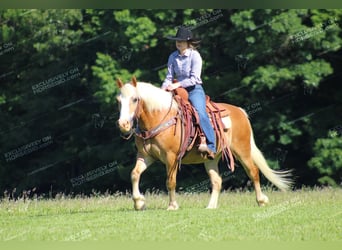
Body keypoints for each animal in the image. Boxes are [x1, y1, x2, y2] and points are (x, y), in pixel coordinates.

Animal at [115, 77, 292, 210]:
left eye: (135, 99)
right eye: (118, 101)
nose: (123, 124)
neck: (158, 118)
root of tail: (240, 111)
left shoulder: (171, 157)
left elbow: (170, 181)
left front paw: (172, 205)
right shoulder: (146, 156)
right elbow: (134, 174)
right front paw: (139, 203)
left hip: (242, 150)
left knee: (253, 172)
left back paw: (261, 200)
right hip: (211, 158)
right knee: (217, 181)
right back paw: (211, 206)